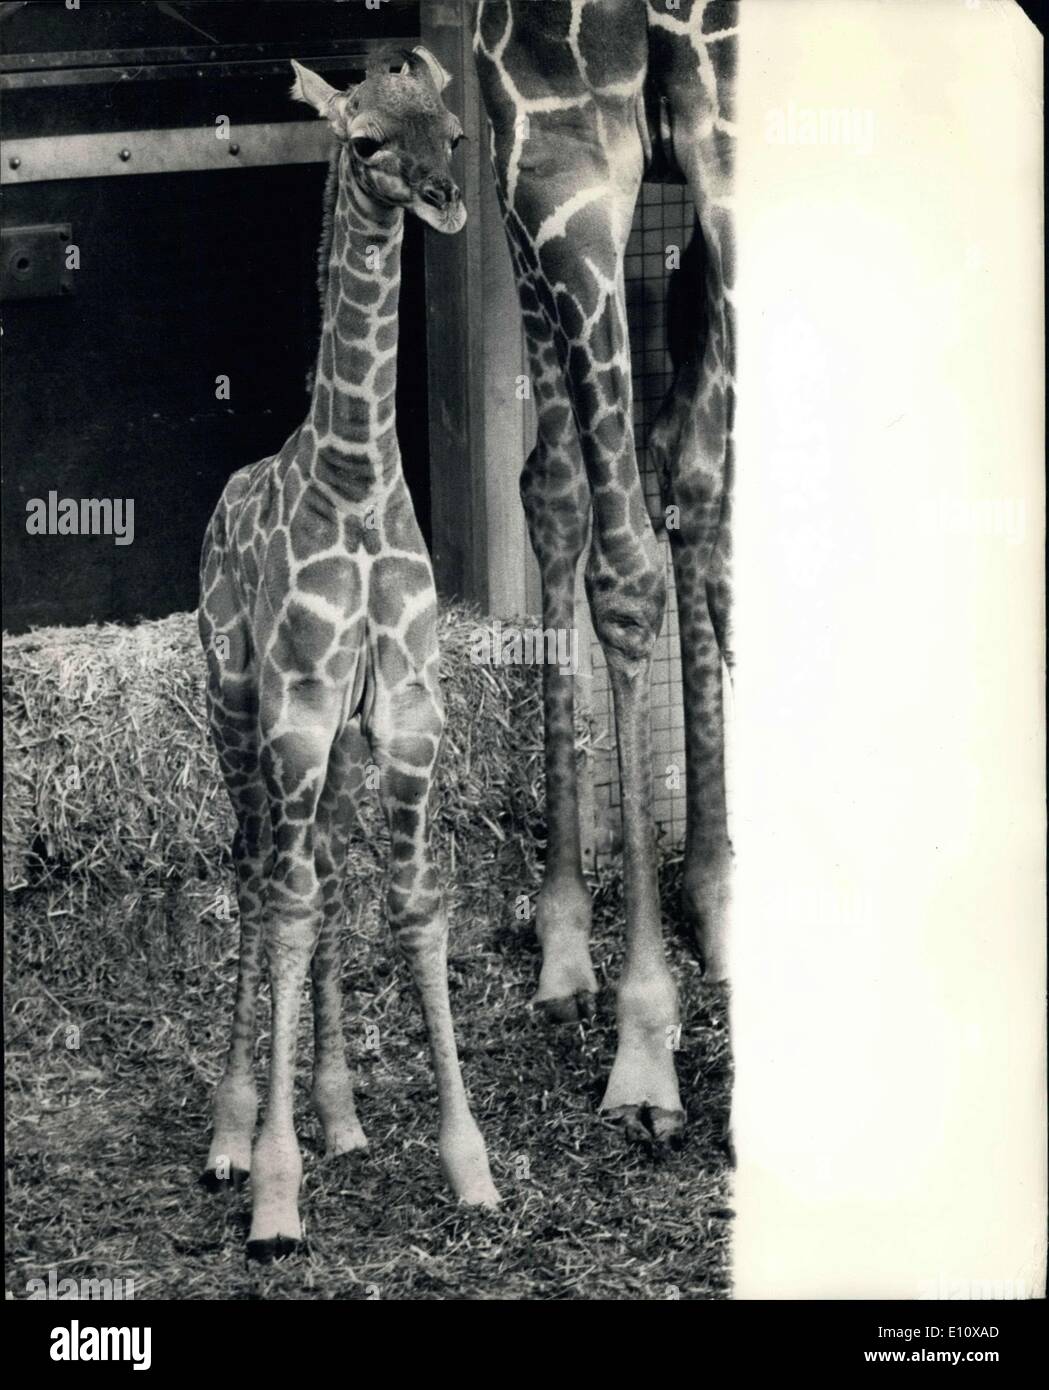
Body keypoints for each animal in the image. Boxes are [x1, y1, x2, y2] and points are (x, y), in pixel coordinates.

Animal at [201, 46, 505, 1262]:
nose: (443, 197)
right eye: (365, 139)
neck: (359, 479)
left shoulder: (405, 712)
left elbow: (411, 902)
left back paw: (339, 1116)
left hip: (326, 747)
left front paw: (470, 1167)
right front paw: (274, 1197)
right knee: (259, 875)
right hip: (234, 705)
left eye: (454, 134)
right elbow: (283, 907)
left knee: (321, 873)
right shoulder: (291, 710)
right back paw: (231, 1136)